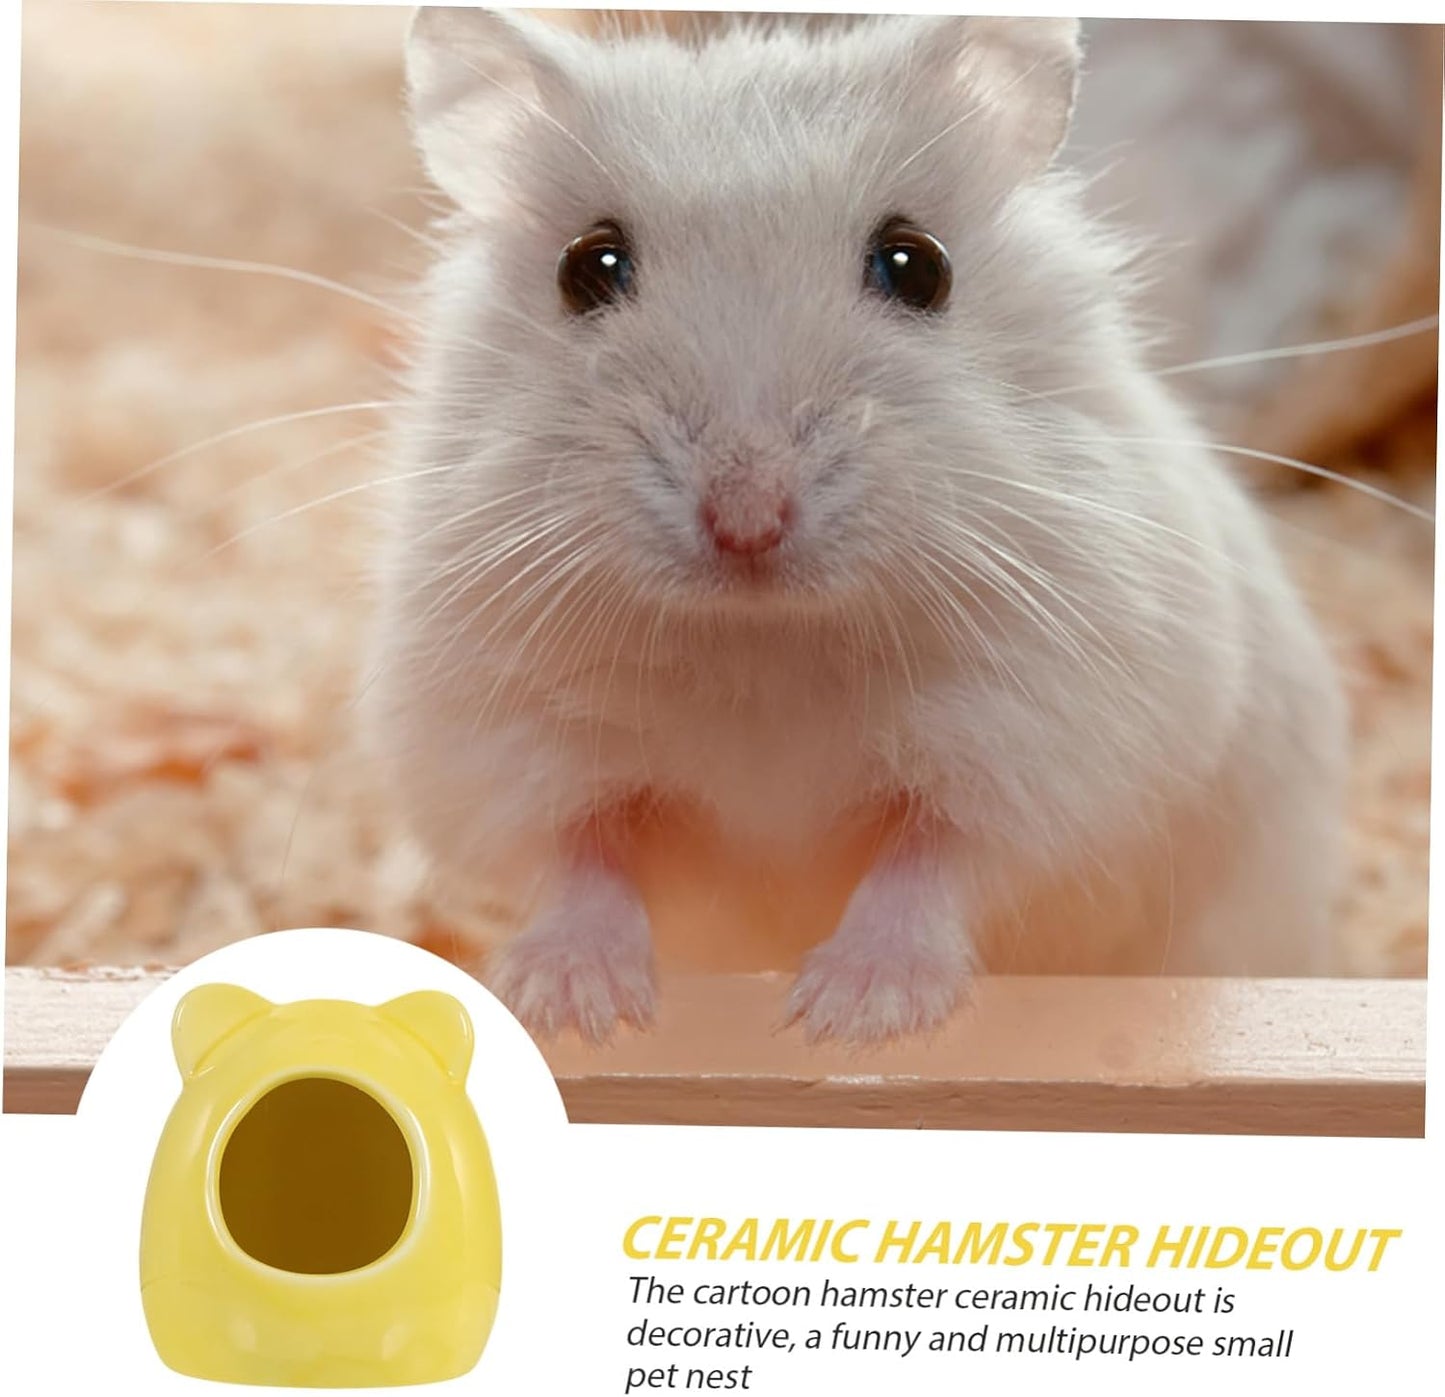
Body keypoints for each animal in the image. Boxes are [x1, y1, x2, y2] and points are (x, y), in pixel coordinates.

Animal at [364, 9, 1348, 1044]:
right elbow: (579, 857)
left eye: (917, 265)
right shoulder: (503, 740)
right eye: (585, 266)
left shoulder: (1046, 744)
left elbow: (932, 862)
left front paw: (847, 1014)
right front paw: (573, 1007)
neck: (763, 645)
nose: (747, 519)